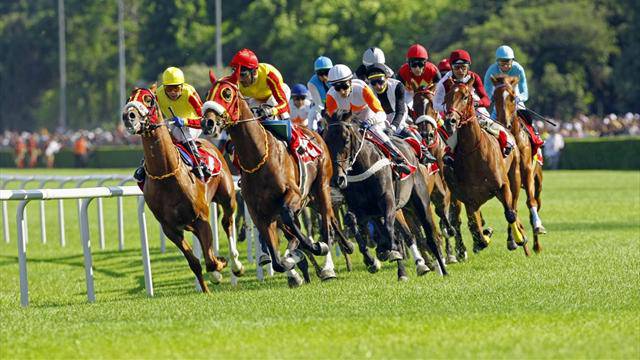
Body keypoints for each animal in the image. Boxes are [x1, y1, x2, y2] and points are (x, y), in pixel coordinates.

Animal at [122, 86, 245, 292]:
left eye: (148, 99)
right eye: (129, 98)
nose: (128, 115)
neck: (167, 174)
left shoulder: (201, 218)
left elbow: (210, 260)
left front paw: (221, 266)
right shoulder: (170, 228)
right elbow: (195, 262)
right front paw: (208, 287)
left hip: (227, 198)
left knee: (227, 223)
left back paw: (236, 263)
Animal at [202, 76, 348, 286]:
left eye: (227, 93)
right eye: (207, 94)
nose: (208, 123)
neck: (258, 158)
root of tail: (315, 134)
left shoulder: (294, 194)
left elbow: (290, 218)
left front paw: (314, 247)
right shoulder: (259, 213)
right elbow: (278, 261)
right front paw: (291, 263)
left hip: (321, 187)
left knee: (327, 223)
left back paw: (327, 265)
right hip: (307, 199)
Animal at [440, 79, 528, 253]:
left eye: (465, 96)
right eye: (446, 97)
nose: (450, 121)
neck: (473, 153)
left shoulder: (503, 186)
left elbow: (510, 213)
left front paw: (518, 238)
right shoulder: (469, 199)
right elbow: (477, 231)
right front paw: (485, 235)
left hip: (514, 178)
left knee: (513, 207)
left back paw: (514, 238)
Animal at [490, 74, 544, 252]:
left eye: (513, 97)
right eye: (494, 97)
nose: (504, 123)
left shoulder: (526, 170)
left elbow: (529, 202)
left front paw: (537, 226)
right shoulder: (506, 176)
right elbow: (511, 206)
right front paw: (512, 239)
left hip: (537, 180)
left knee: (536, 201)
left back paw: (536, 243)